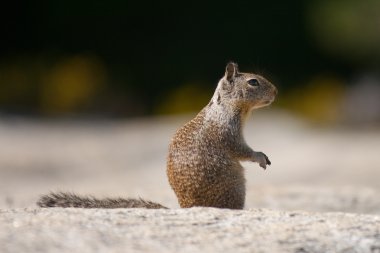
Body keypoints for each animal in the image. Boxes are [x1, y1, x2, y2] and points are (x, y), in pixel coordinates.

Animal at [37, 61, 276, 210]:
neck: (226, 107)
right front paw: (260, 157)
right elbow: (241, 149)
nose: (275, 92)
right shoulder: (229, 131)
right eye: (253, 82)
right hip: (236, 188)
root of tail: (185, 208)